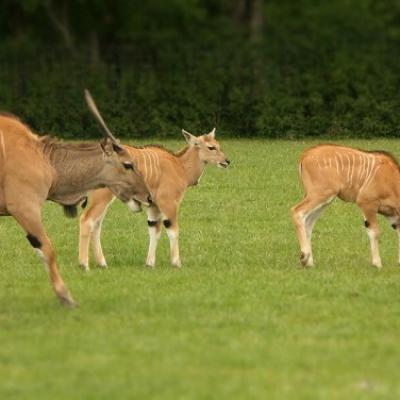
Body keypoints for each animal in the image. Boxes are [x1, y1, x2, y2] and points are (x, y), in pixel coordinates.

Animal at [0, 92, 150, 308]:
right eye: (128, 164)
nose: (147, 196)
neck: (45, 159)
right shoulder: (24, 207)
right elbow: (48, 249)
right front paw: (66, 297)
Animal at [79, 128, 228, 270]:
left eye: (218, 145)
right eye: (211, 147)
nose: (227, 161)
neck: (180, 166)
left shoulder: (153, 207)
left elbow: (154, 231)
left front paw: (149, 264)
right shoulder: (168, 203)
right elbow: (173, 231)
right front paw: (176, 263)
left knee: (96, 225)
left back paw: (102, 264)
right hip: (101, 198)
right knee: (86, 220)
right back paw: (84, 264)